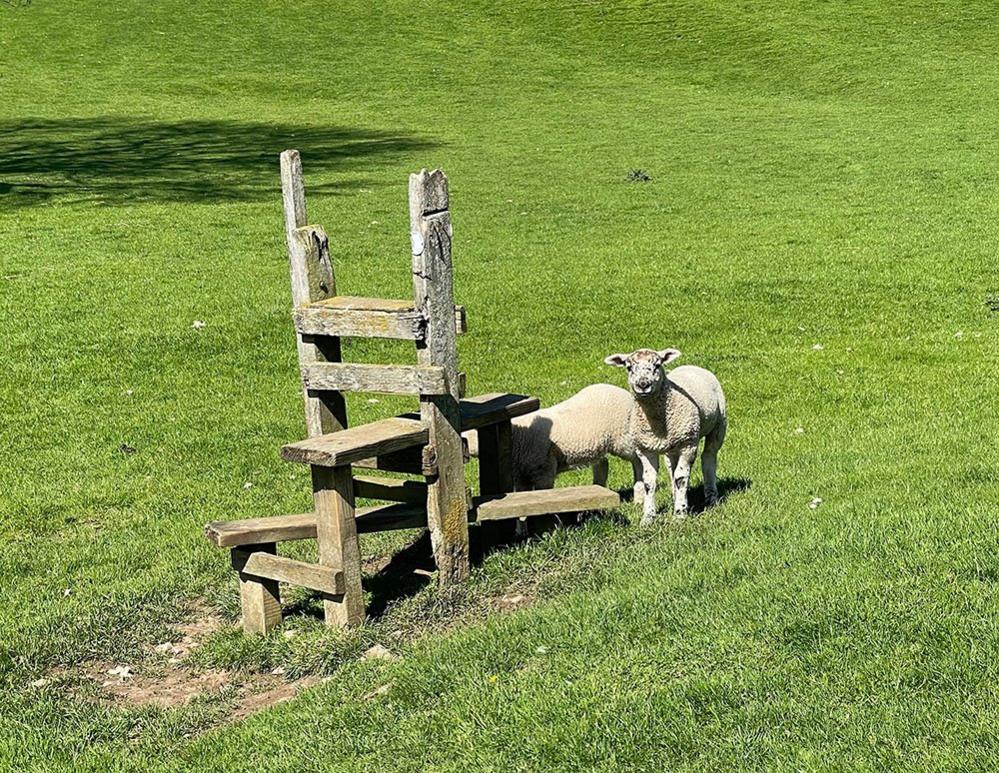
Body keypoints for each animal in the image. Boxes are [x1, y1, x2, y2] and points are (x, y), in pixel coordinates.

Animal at [600, 348, 728, 524]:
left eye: (657, 365)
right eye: (629, 367)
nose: (643, 385)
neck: (657, 424)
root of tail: (691, 366)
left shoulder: (688, 445)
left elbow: (681, 478)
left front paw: (680, 514)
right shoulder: (645, 449)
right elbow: (649, 482)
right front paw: (648, 517)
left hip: (718, 426)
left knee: (708, 458)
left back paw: (711, 498)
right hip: (672, 446)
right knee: (671, 467)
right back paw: (676, 496)